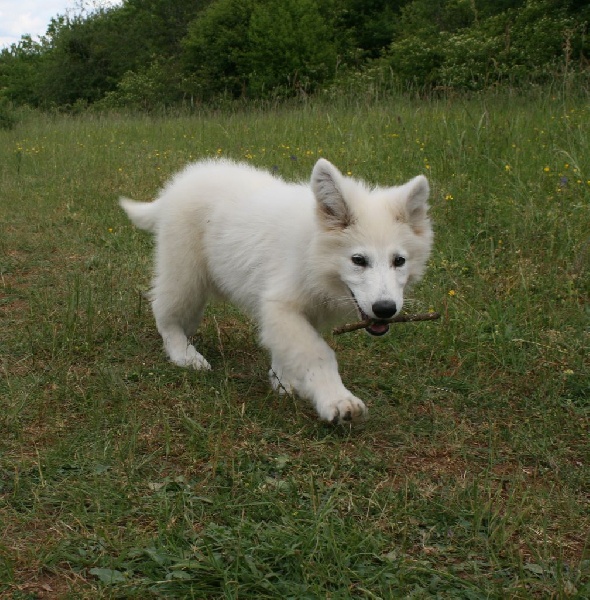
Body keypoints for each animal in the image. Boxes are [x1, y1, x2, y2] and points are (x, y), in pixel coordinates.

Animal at [120, 158, 433, 424]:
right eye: (358, 260)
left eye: (399, 261)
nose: (386, 309)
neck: (313, 251)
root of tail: (178, 186)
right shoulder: (280, 303)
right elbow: (316, 352)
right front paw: (336, 400)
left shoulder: (301, 311)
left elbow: (288, 348)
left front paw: (284, 381)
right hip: (184, 273)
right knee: (164, 311)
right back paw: (184, 355)